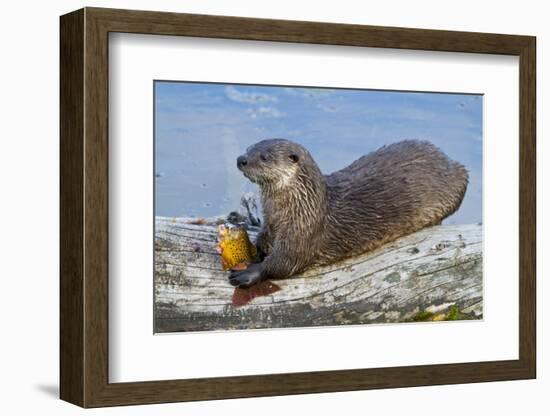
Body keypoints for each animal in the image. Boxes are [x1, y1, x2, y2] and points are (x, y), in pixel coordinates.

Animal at [229, 138, 470, 288]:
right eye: (249, 148)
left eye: (264, 157)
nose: (241, 159)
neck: (299, 206)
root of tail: (448, 159)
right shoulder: (271, 222)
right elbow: (263, 241)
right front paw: (249, 249)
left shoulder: (304, 232)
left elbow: (285, 262)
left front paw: (249, 273)